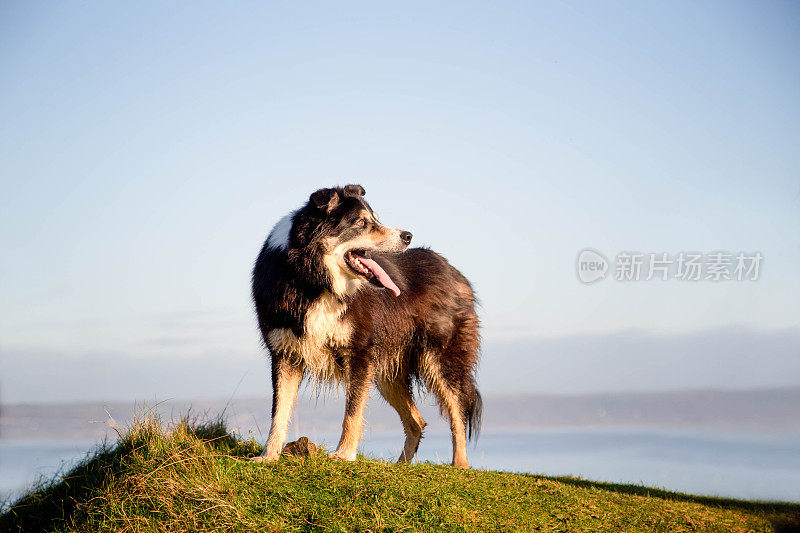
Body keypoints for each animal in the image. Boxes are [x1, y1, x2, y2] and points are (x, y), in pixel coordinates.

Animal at [250, 184, 482, 466]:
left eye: (376, 219)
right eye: (361, 223)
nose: (408, 236)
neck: (314, 281)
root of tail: (453, 270)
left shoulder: (359, 352)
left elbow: (352, 411)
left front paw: (343, 455)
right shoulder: (285, 352)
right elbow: (279, 411)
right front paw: (268, 456)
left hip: (440, 359)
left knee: (457, 411)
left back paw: (460, 465)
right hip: (387, 372)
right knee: (417, 421)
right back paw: (401, 466)